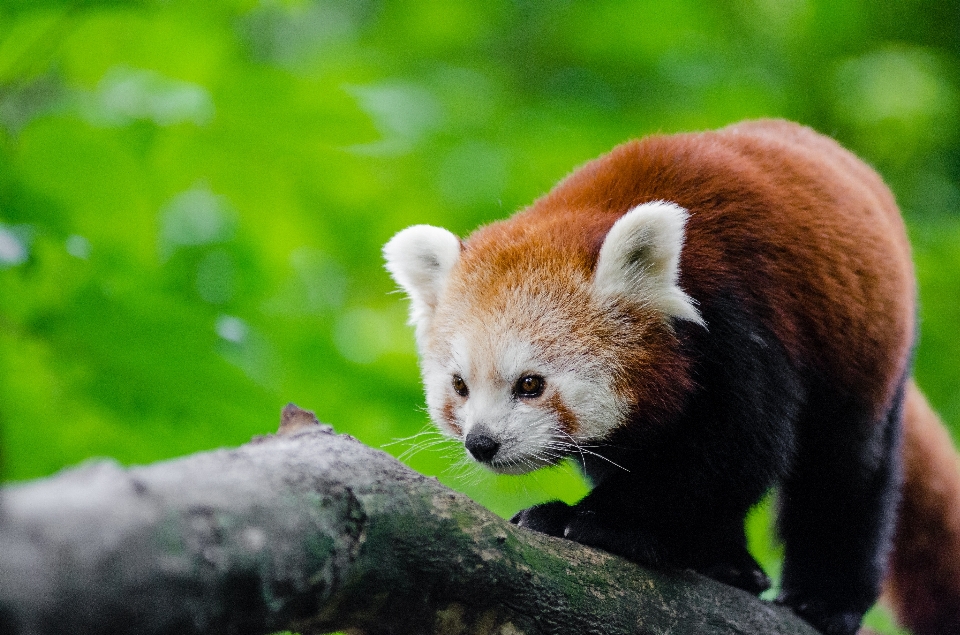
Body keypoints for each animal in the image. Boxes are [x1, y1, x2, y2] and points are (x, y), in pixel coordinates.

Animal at [380, 120, 960, 635]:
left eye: (530, 384)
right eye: (460, 386)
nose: (482, 443)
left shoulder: (743, 321)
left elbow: (732, 453)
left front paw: (594, 520)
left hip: (865, 351)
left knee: (846, 471)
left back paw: (825, 600)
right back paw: (725, 562)